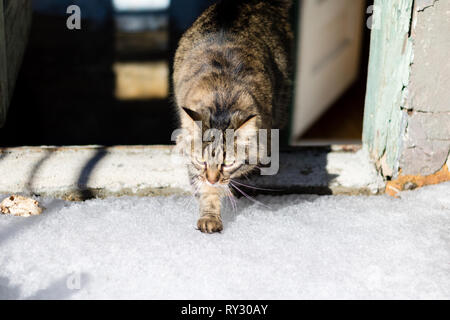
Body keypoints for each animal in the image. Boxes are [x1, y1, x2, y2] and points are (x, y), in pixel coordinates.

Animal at [172, 0, 292, 232]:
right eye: (202, 161)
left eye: (227, 163)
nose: (212, 179)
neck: (222, 98)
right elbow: (204, 190)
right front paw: (210, 216)